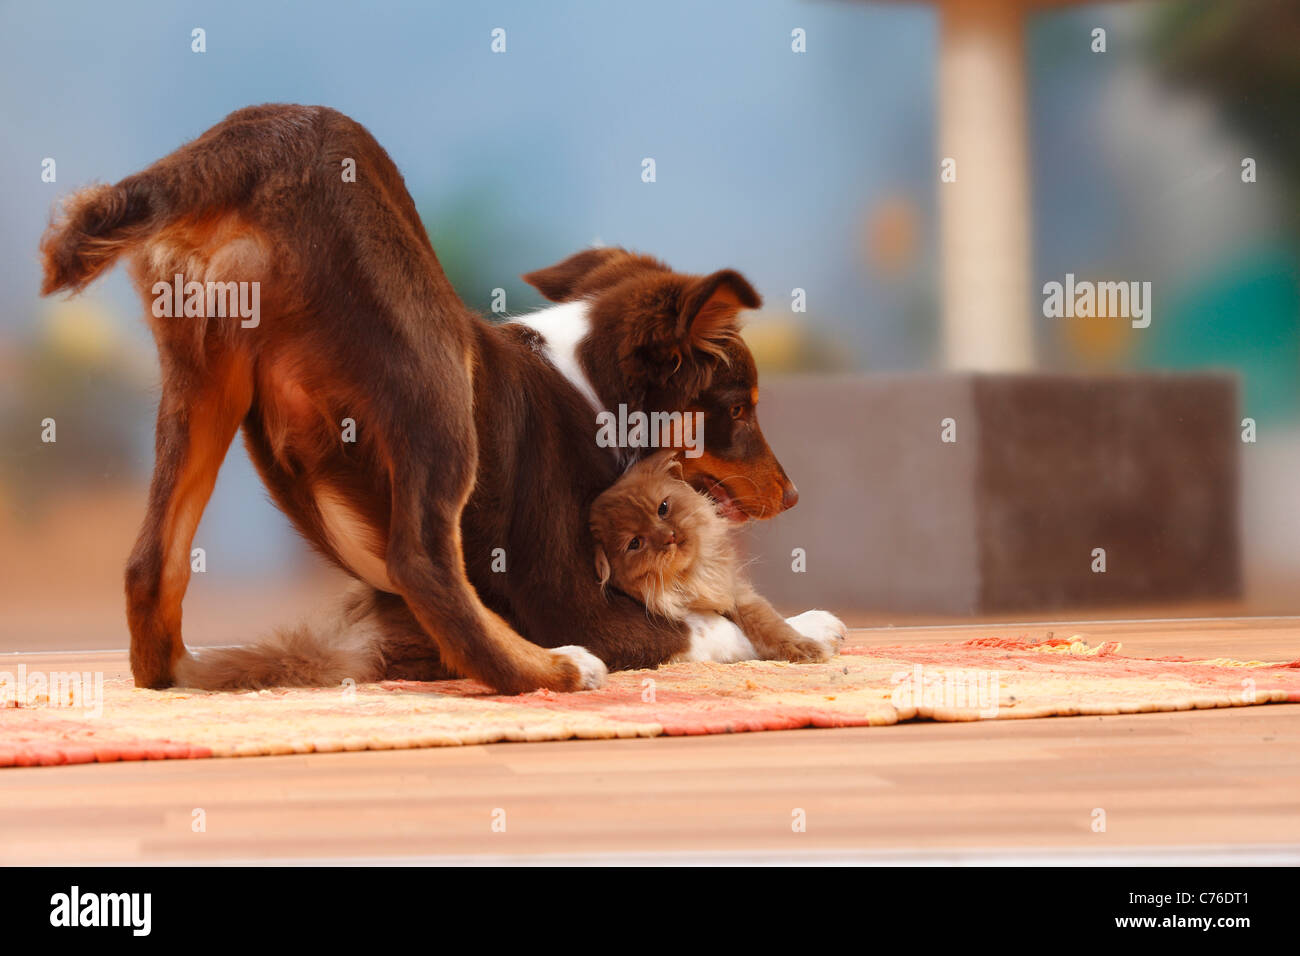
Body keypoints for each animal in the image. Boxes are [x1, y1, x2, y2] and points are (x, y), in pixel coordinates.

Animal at [40, 104, 842, 697]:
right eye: (740, 408)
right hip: (433, 372)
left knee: (151, 562)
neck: (591, 392)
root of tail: (252, 144)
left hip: (201, 380)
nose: (796, 495)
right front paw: (793, 634)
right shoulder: (569, 598)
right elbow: (707, 625)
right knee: (421, 558)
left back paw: (190, 673)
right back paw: (549, 671)